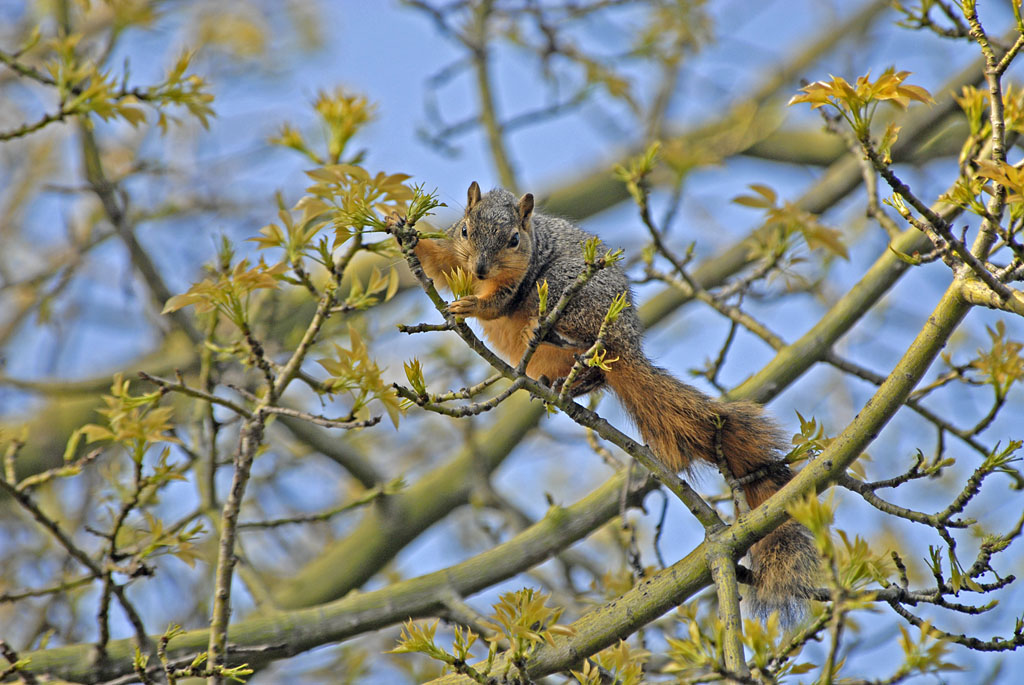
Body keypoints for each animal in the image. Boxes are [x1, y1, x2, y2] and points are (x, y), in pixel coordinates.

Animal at [407, 181, 815, 618]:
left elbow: (498, 303)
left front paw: (473, 303)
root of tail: (626, 343)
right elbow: (440, 264)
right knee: (596, 374)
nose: (481, 269)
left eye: (514, 239)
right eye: (466, 229)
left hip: (568, 293)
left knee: (588, 346)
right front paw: (407, 234)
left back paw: (552, 336)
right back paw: (559, 383)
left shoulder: (516, 282)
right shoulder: (456, 255)